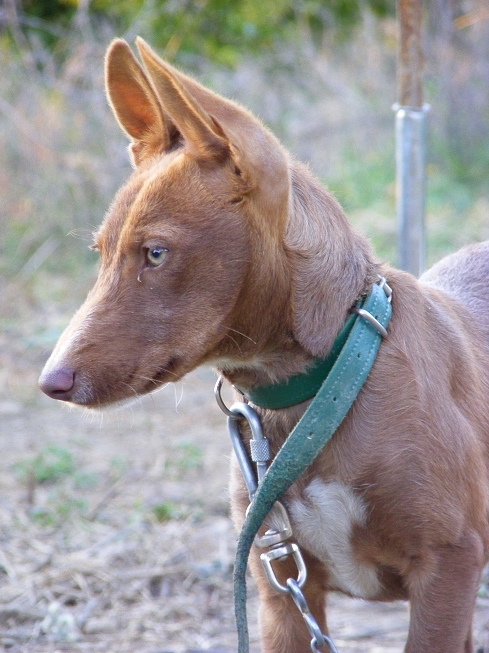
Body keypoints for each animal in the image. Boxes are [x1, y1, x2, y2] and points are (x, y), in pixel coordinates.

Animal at [40, 38, 488, 648]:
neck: (325, 386)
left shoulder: (446, 571)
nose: (50, 382)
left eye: (156, 253)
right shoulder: (282, 590)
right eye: (100, 252)